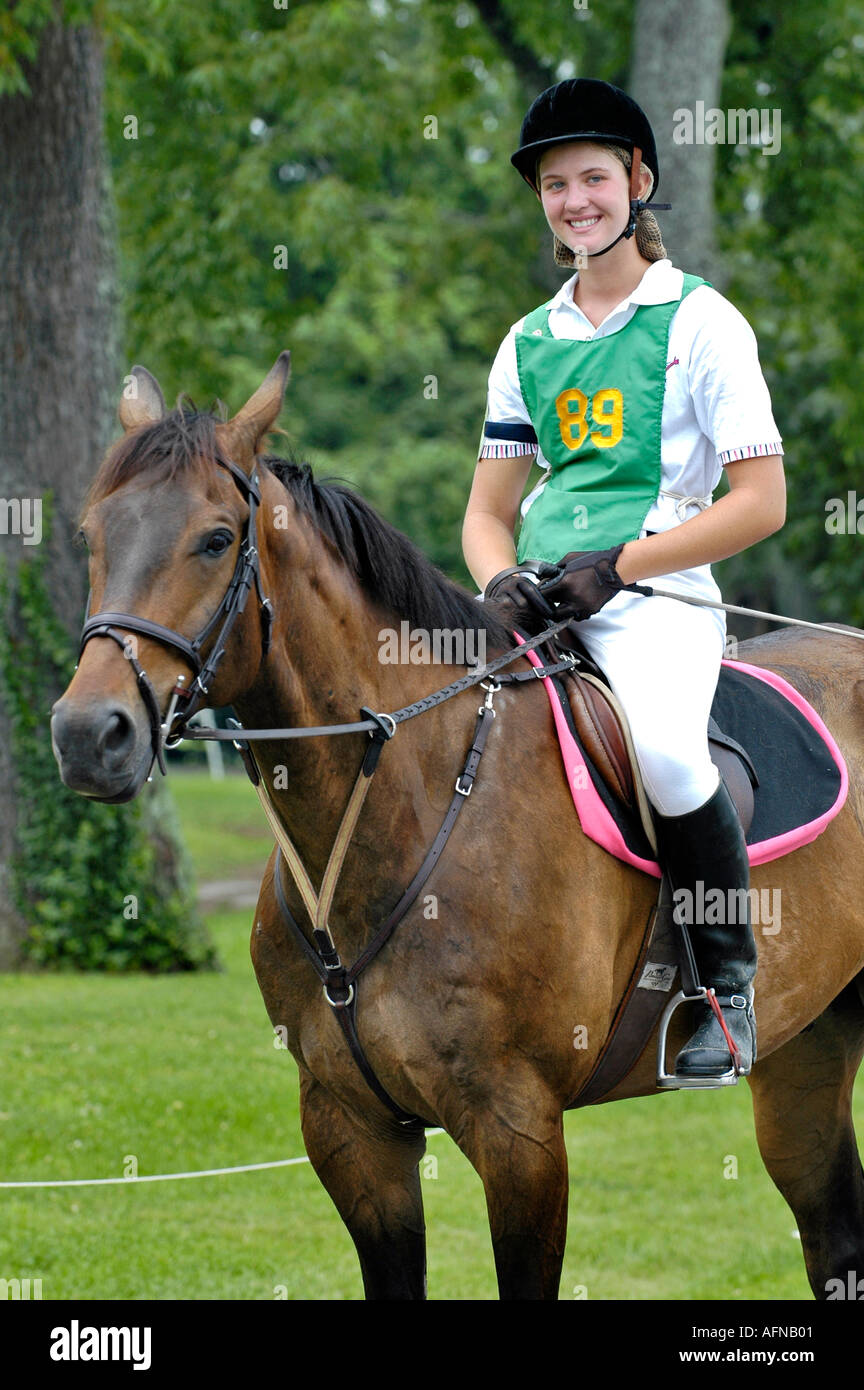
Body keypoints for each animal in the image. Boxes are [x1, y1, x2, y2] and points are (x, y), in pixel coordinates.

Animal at [51, 354, 864, 1300]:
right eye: (94, 534)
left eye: (217, 539)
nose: (89, 735)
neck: (402, 815)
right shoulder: (351, 1129)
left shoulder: (520, 1132)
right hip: (806, 1046)